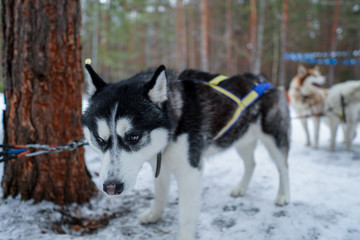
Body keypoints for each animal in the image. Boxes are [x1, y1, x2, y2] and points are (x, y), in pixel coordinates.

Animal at [81, 64, 290, 239]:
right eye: (99, 139)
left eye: (133, 137)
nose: (111, 187)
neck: (174, 123)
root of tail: (262, 78)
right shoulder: (160, 165)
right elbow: (160, 195)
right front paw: (154, 214)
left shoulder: (190, 173)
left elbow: (186, 217)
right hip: (240, 139)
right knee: (251, 163)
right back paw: (241, 188)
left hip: (274, 140)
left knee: (283, 166)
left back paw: (283, 195)